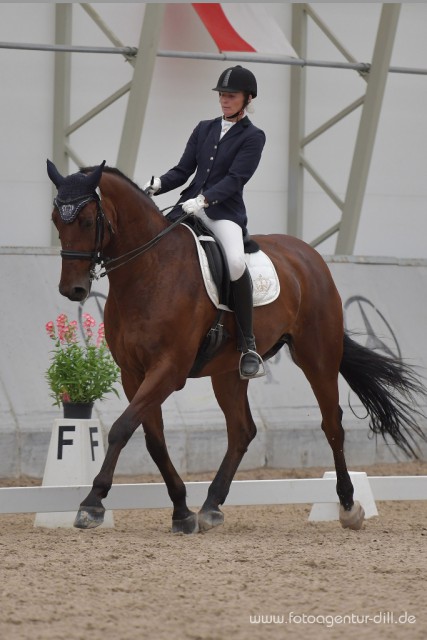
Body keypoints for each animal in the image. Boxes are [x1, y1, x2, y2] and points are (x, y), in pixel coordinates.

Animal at [47, 161, 427, 536]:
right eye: (55, 220)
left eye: (86, 220)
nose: (72, 289)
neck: (150, 269)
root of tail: (308, 255)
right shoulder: (133, 373)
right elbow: (152, 440)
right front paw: (181, 510)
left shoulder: (169, 369)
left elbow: (122, 428)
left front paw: (92, 503)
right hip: (229, 371)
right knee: (243, 430)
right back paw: (211, 505)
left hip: (317, 357)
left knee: (332, 424)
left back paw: (348, 506)